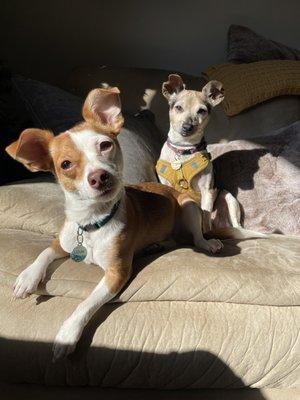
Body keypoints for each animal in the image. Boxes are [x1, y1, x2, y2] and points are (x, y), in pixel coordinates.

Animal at [5, 86, 224, 360]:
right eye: (65, 165)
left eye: (105, 145)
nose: (99, 176)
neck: (92, 222)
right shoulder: (63, 241)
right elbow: (44, 251)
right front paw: (27, 278)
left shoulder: (116, 274)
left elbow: (87, 302)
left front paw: (68, 333)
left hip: (189, 207)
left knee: (196, 236)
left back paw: (206, 244)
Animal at [156, 75, 240, 231]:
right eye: (178, 107)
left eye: (201, 111)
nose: (187, 126)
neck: (183, 150)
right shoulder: (167, 185)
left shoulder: (207, 191)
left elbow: (205, 218)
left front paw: (206, 233)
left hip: (228, 197)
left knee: (236, 224)